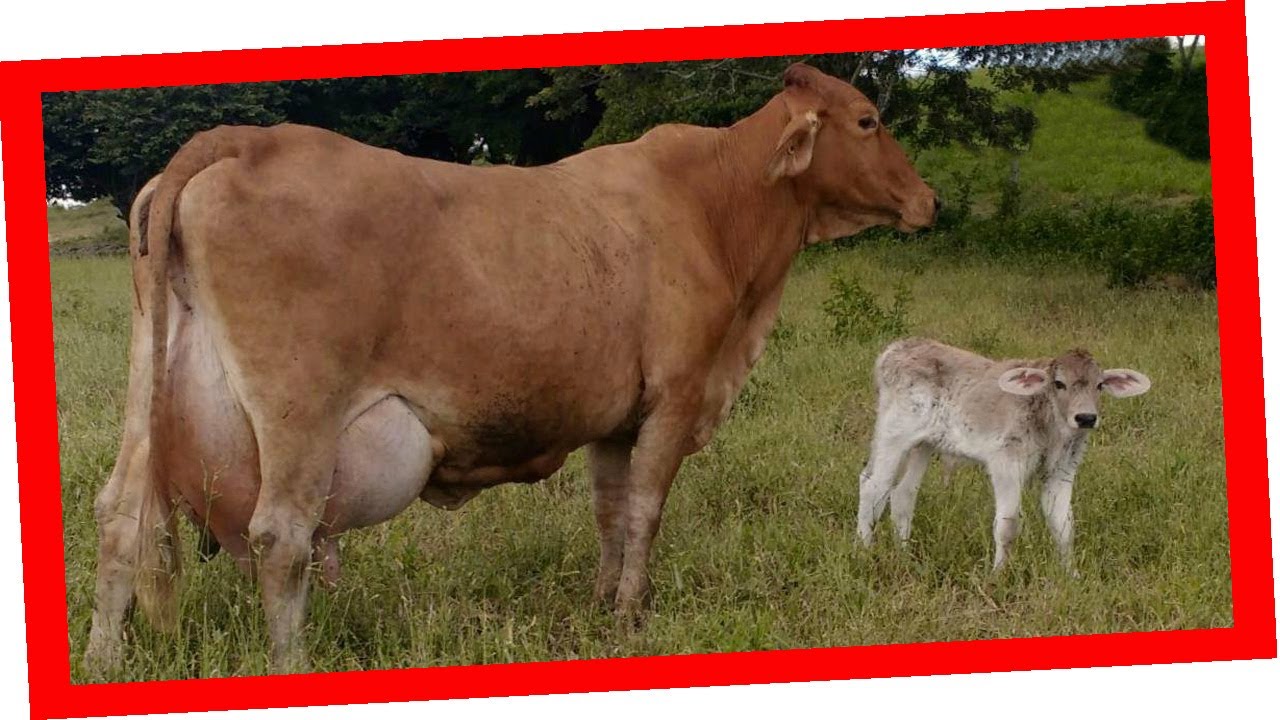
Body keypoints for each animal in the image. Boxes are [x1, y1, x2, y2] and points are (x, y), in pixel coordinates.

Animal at [82, 63, 938, 674]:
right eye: (868, 121)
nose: (928, 199)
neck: (716, 207)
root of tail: (247, 138)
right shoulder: (675, 397)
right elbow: (645, 513)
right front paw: (632, 616)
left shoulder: (615, 419)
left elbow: (610, 514)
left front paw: (600, 605)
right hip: (300, 412)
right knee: (279, 537)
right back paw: (289, 668)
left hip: (148, 392)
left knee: (124, 515)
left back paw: (103, 661)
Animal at [856, 338, 1151, 573]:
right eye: (1059, 383)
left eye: (1099, 385)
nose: (1086, 417)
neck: (1052, 429)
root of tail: (897, 347)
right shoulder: (1006, 461)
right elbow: (1008, 524)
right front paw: (999, 574)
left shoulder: (1063, 470)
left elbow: (1064, 525)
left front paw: (1071, 575)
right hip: (894, 432)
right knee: (874, 485)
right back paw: (864, 549)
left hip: (924, 443)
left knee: (903, 493)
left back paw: (905, 555)